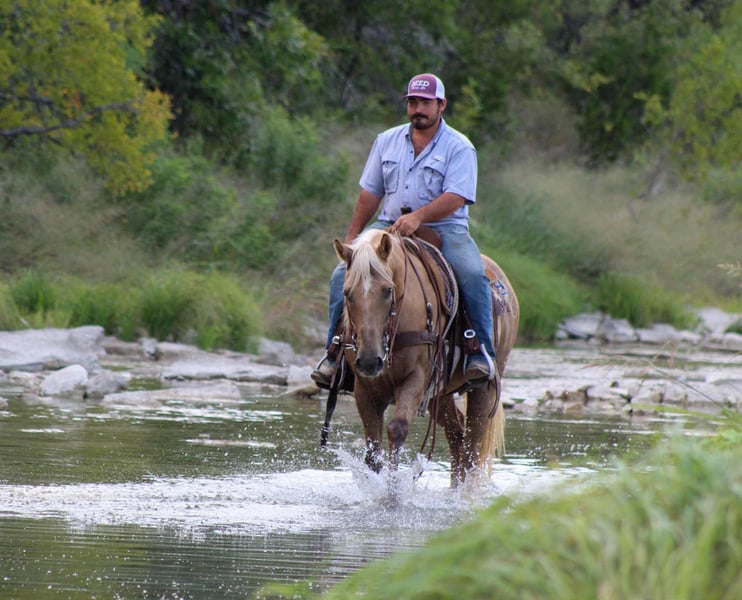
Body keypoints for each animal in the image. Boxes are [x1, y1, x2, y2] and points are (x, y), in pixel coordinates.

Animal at [325, 228, 519, 487]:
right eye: (346, 293)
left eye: (388, 290)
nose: (369, 361)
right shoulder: (365, 390)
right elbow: (373, 449)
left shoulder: (414, 380)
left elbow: (396, 430)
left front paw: (392, 491)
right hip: (441, 395)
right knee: (457, 434)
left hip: (484, 388)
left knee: (473, 445)